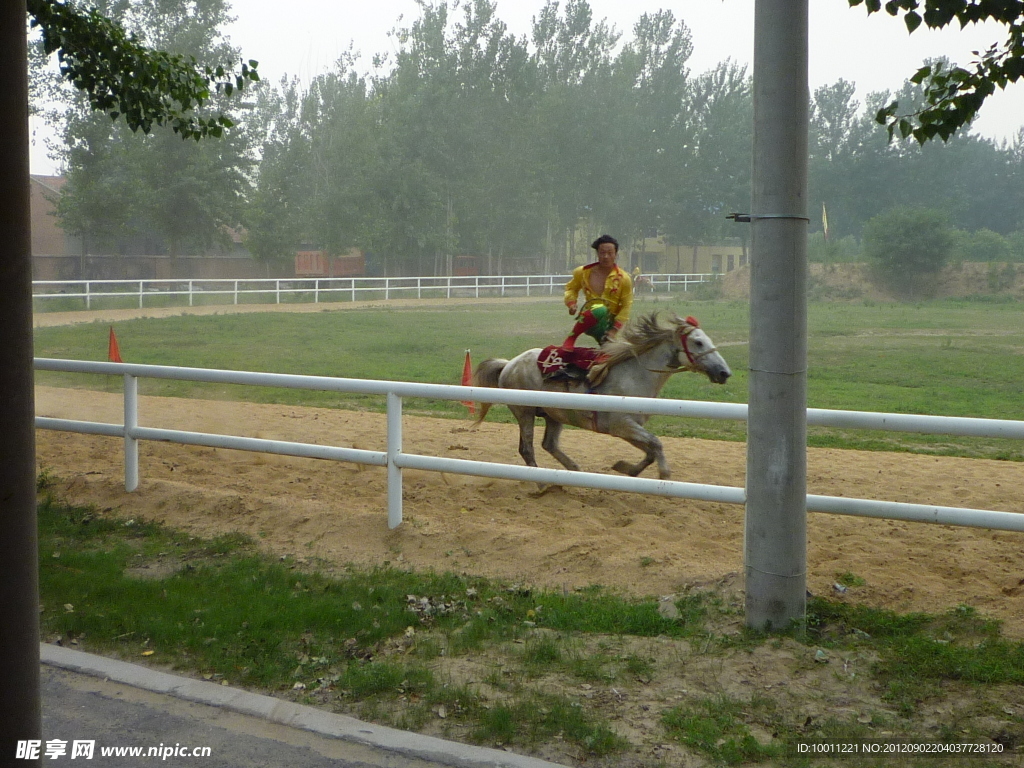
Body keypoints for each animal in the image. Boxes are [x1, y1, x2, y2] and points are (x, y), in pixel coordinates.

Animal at [471, 313, 729, 481]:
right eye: (698, 342)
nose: (724, 372)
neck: (634, 373)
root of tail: (508, 364)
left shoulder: (628, 428)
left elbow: (650, 451)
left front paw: (625, 468)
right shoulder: (621, 424)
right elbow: (656, 444)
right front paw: (664, 474)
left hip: (555, 415)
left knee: (549, 445)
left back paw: (575, 471)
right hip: (524, 412)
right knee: (527, 449)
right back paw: (542, 483)